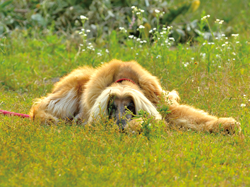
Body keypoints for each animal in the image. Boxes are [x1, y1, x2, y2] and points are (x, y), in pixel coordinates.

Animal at [29, 59, 240, 133]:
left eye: (130, 106)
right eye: (112, 107)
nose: (120, 126)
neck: (123, 81)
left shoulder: (158, 100)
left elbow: (185, 115)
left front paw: (224, 124)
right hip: (72, 86)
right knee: (38, 107)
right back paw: (46, 118)